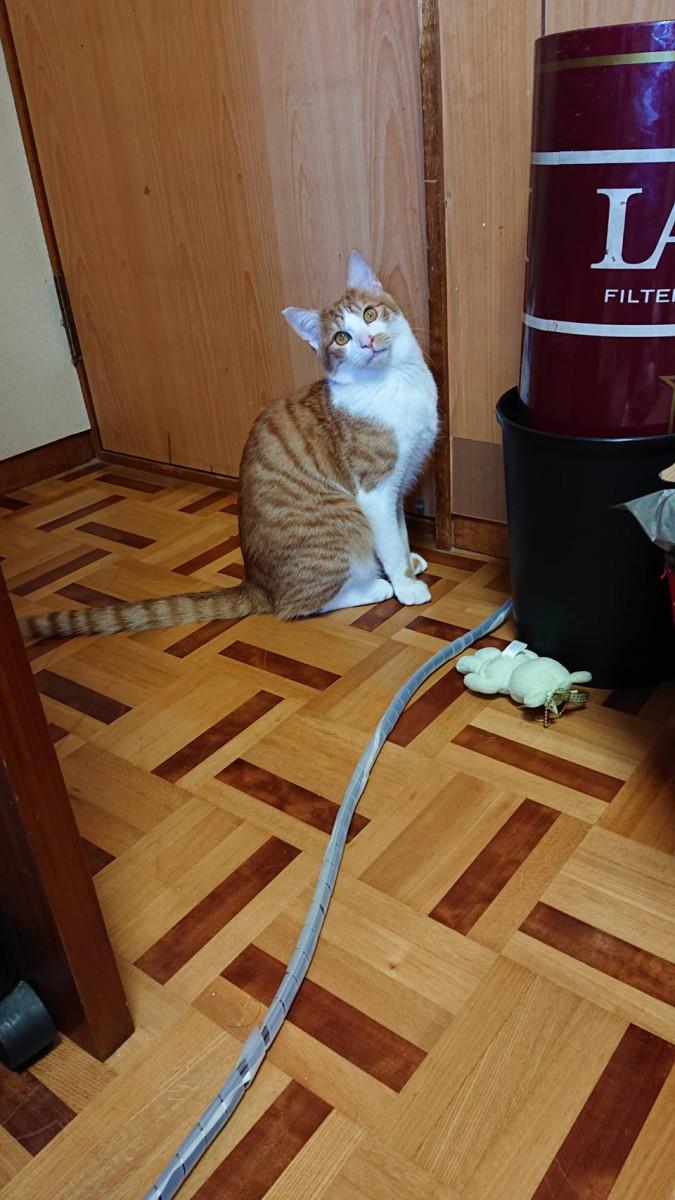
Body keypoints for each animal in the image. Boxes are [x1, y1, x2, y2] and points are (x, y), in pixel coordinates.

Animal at [20, 251, 438, 641]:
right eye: (341, 338)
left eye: (370, 314)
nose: (367, 341)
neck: (396, 382)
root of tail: (257, 585)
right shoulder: (374, 490)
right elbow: (388, 541)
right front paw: (405, 585)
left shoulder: (398, 484)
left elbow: (399, 533)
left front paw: (408, 563)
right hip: (343, 517)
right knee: (296, 605)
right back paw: (374, 587)